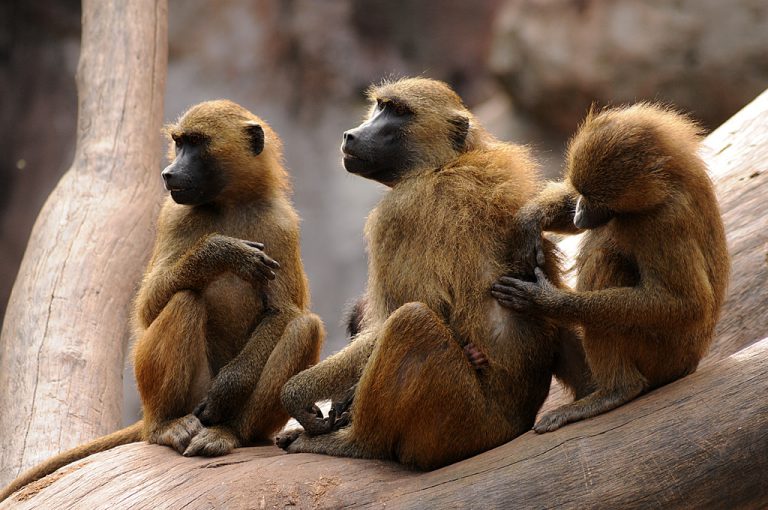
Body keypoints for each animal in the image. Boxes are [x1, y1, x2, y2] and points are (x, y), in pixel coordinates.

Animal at [0, 100, 324, 501]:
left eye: (197, 143)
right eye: (179, 142)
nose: (169, 174)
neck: (228, 203)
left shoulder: (282, 224)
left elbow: (283, 312)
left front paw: (228, 388)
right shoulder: (173, 214)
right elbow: (148, 308)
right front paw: (222, 252)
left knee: (304, 327)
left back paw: (228, 432)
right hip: (169, 393)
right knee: (185, 300)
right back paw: (166, 428)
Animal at [275, 77, 593, 470]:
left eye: (399, 111)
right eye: (380, 106)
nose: (350, 135)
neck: (445, 163)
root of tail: (512, 427)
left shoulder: (397, 214)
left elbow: (388, 322)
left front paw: (296, 393)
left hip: (461, 422)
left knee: (410, 320)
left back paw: (352, 444)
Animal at [491, 103, 729, 433]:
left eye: (597, 201)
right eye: (582, 194)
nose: (579, 213)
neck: (673, 180)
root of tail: (691, 363)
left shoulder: (664, 221)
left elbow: (687, 304)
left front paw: (546, 301)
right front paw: (531, 219)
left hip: (663, 355)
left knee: (604, 261)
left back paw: (616, 391)